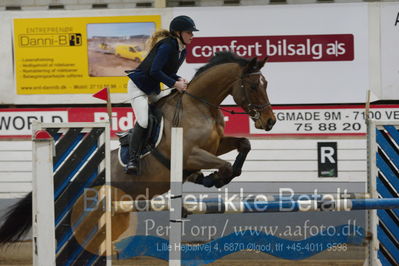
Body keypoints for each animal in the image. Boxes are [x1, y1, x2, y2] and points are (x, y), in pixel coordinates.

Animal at [0, 50, 276, 256]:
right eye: (254, 85)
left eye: (266, 83)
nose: (270, 121)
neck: (200, 106)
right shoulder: (189, 154)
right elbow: (223, 165)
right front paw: (214, 178)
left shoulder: (215, 145)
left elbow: (243, 145)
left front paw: (214, 176)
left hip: (118, 215)